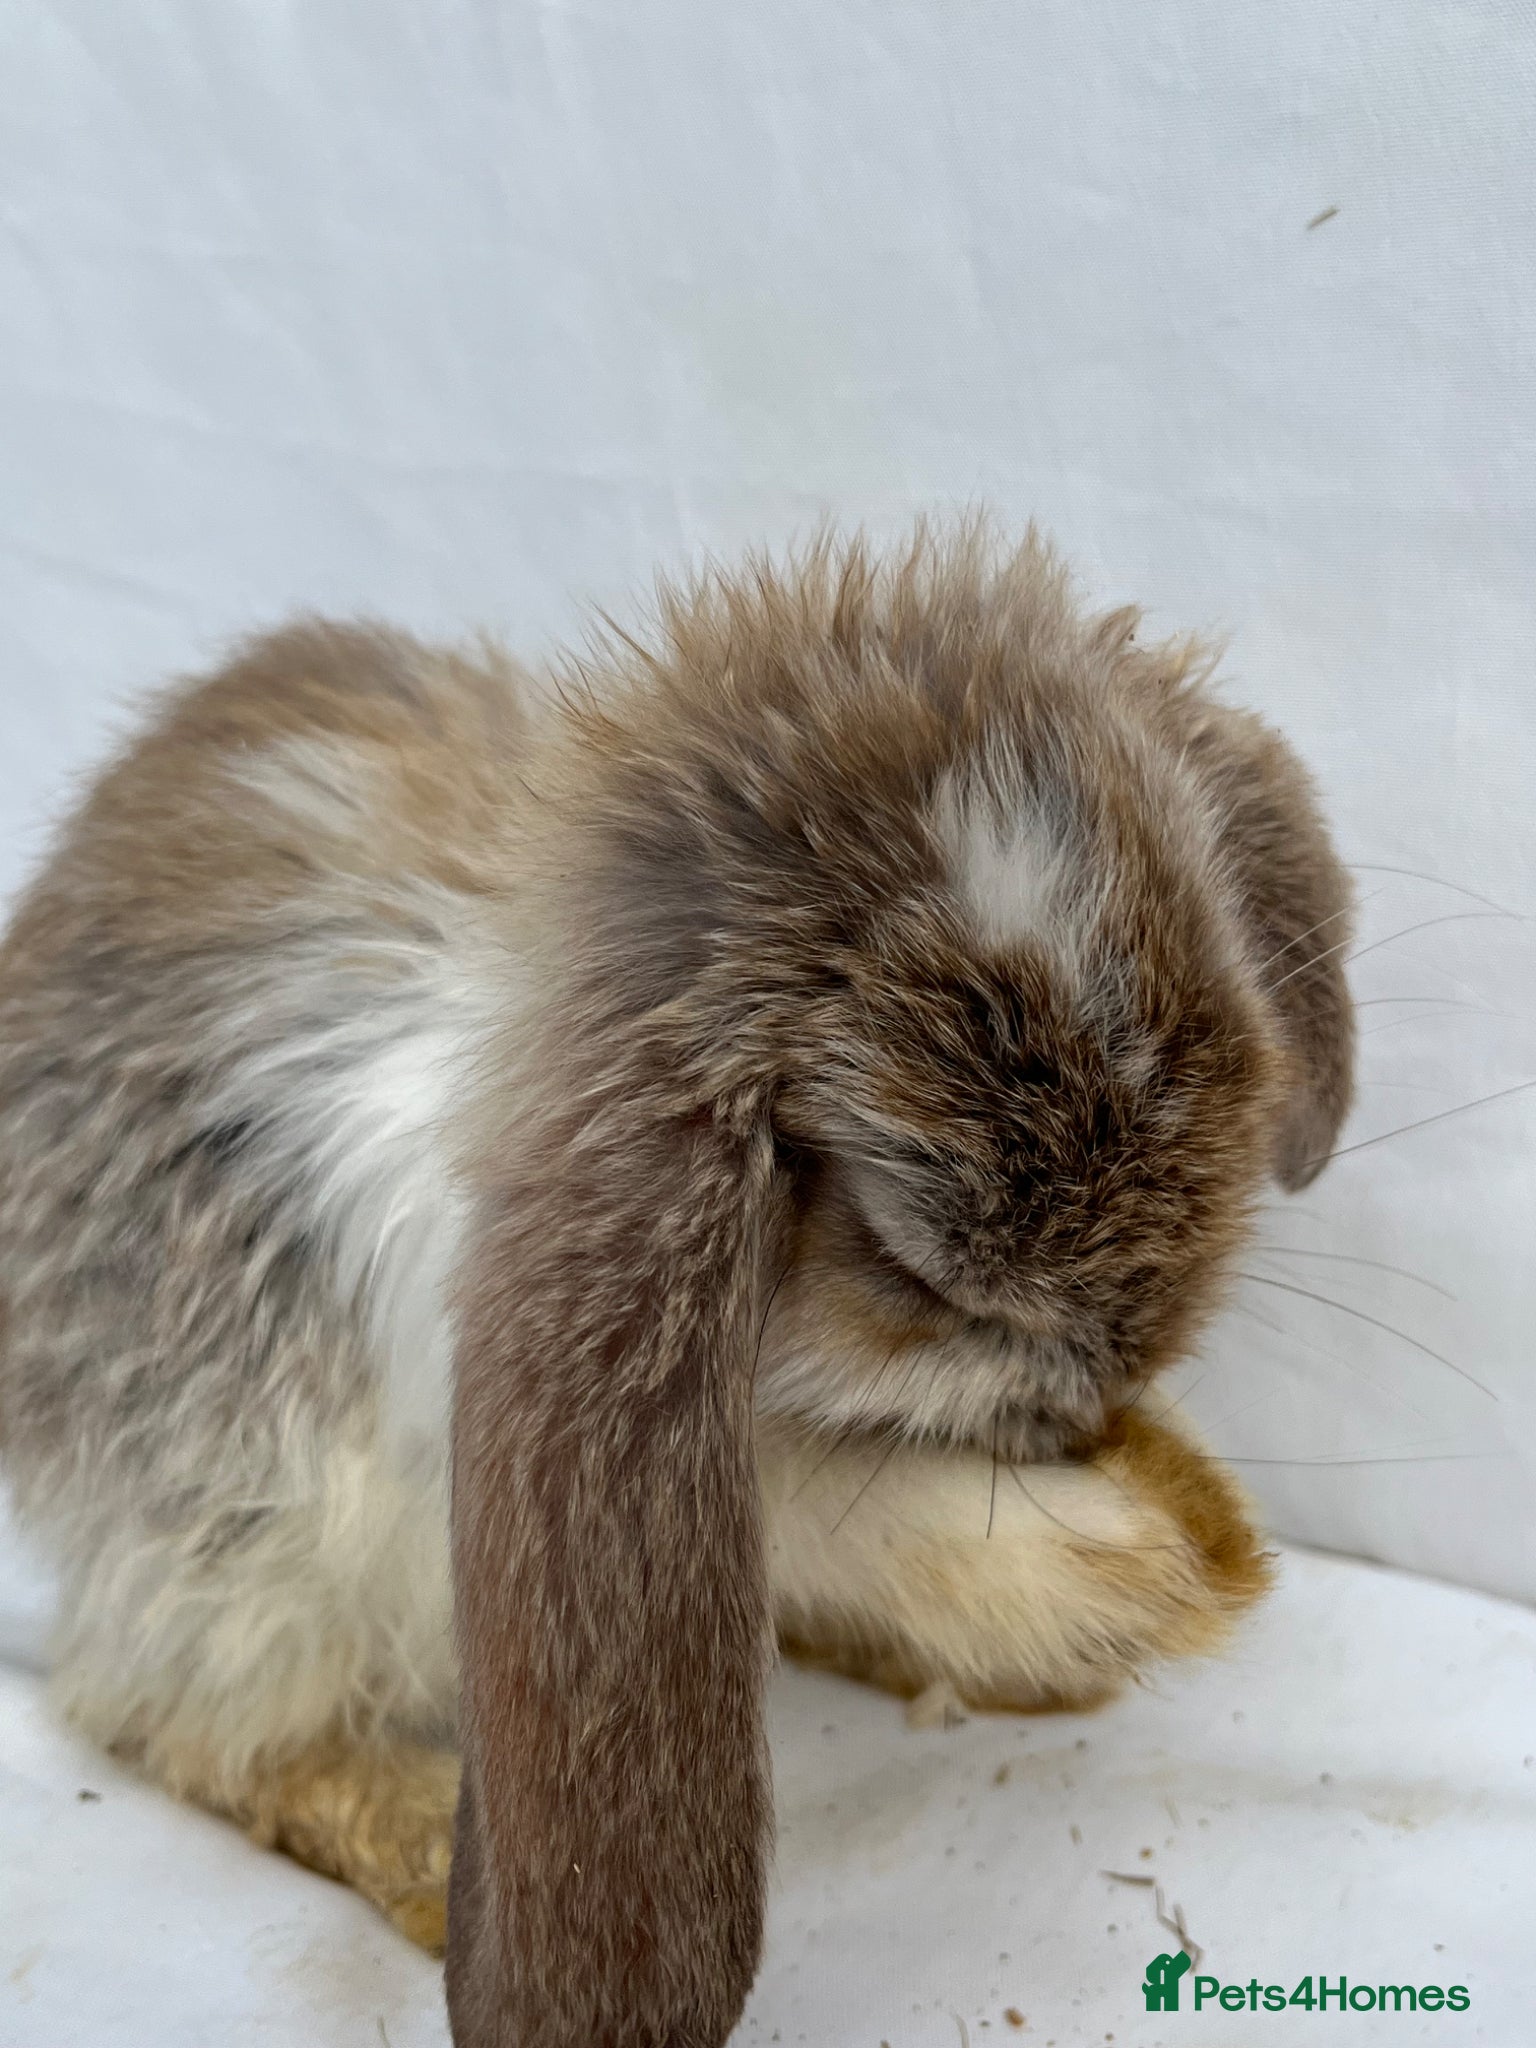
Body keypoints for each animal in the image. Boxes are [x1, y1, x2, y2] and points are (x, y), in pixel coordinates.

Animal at [0, 523, 1354, 2048]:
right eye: (907, 1256)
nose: (1109, 1378)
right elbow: (823, 1499)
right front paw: (1121, 1569)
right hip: (247, 1547)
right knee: (178, 1726)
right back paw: (413, 1835)